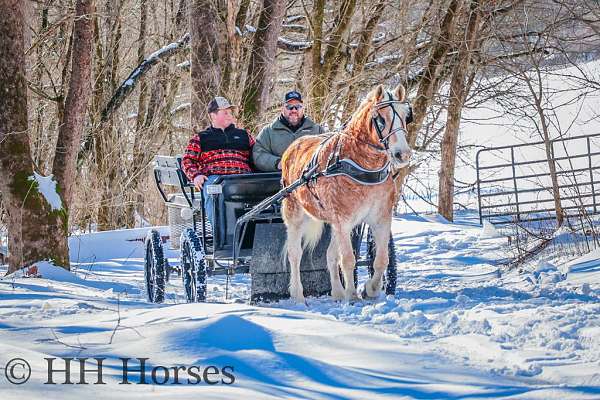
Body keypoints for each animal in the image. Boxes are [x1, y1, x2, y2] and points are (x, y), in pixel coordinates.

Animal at [282, 85, 412, 304]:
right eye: (381, 119)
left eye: (406, 116)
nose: (403, 154)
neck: (362, 166)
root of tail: (293, 145)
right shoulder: (344, 221)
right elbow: (349, 259)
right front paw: (352, 294)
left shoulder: (380, 219)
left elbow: (381, 259)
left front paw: (370, 289)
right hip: (295, 214)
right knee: (295, 254)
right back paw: (298, 295)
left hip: (334, 224)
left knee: (330, 255)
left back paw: (337, 292)